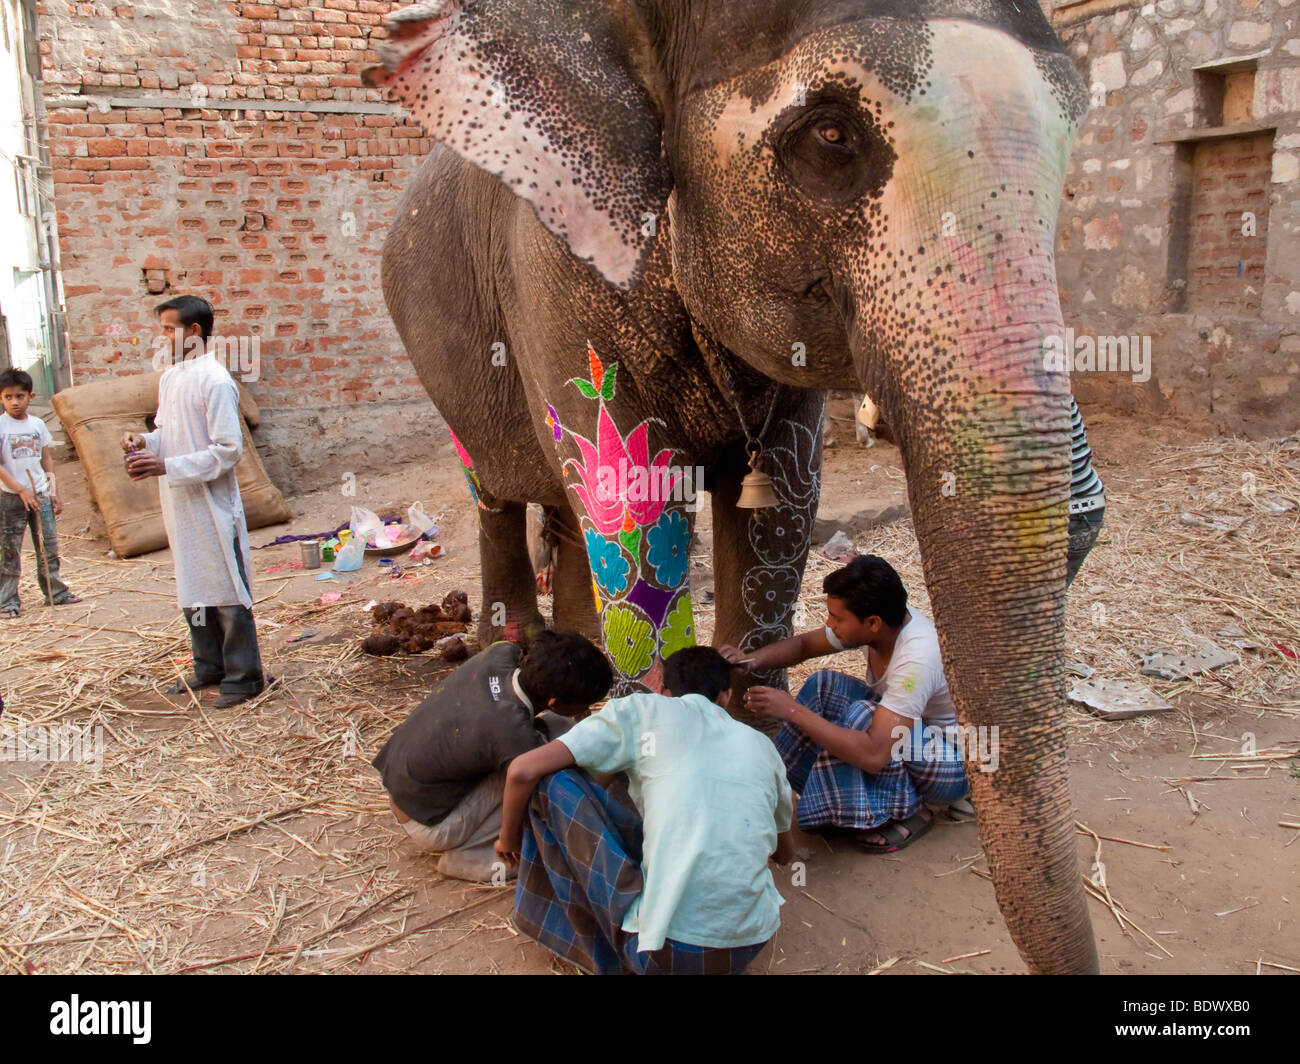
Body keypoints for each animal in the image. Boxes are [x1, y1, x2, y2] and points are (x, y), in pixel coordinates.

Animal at [364, 0, 1097, 972]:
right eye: (830, 134)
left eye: (1075, 131)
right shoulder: (554, 274)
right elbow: (635, 507)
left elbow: (783, 501)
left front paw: (748, 708)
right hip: (437, 362)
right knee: (499, 492)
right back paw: (510, 639)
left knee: (563, 507)